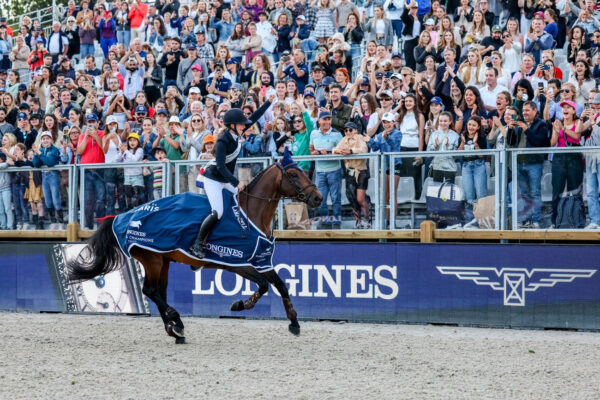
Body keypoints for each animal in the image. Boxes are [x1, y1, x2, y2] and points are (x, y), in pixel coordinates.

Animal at [68, 156, 324, 344]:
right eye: (293, 174)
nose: (318, 198)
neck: (249, 213)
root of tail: (122, 216)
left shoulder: (261, 262)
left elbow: (280, 285)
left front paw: (294, 322)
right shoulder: (236, 262)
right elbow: (263, 285)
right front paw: (240, 305)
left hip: (163, 261)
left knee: (158, 291)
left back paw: (174, 329)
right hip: (153, 259)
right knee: (150, 290)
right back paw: (176, 321)